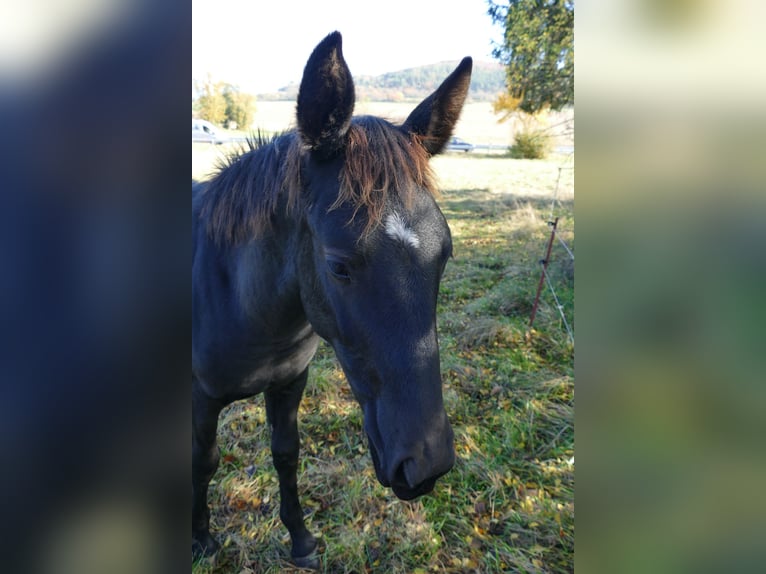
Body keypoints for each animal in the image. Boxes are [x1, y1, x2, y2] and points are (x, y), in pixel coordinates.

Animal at [194, 32, 468, 572]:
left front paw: (300, 538)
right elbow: (204, 460)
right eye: (339, 265)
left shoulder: (288, 384)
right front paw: (200, 538)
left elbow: (286, 453)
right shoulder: (200, 398)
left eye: (445, 252)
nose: (427, 464)